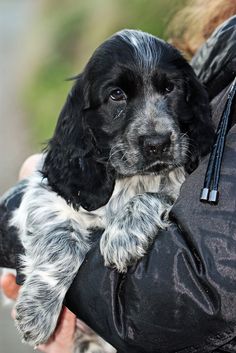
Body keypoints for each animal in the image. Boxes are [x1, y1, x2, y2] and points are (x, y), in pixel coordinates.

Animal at [10, 30, 214, 352]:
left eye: (170, 88)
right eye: (116, 95)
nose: (157, 143)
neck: (129, 179)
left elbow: (158, 194)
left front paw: (123, 235)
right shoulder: (44, 195)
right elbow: (61, 239)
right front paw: (36, 311)